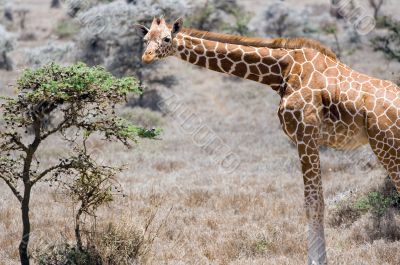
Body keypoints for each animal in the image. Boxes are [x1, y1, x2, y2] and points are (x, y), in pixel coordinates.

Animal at [134, 17, 400, 262]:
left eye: (166, 39)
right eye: (145, 39)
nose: (146, 57)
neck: (281, 70)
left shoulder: (305, 134)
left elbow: (313, 204)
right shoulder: (307, 138)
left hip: (385, 144)